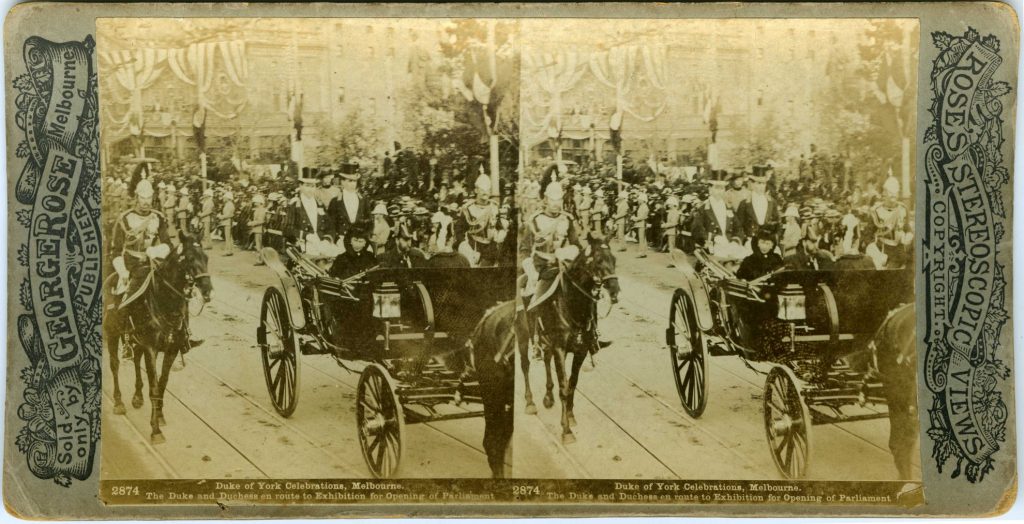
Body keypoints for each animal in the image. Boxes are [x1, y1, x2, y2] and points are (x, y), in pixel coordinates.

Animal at [103, 232, 211, 442]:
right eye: (190, 258)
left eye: (207, 258)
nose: (208, 289)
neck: (165, 302)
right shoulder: (151, 349)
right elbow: (154, 388)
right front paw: (155, 430)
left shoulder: (172, 349)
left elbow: (162, 383)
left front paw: (159, 415)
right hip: (113, 333)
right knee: (115, 365)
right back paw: (119, 402)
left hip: (136, 340)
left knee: (136, 359)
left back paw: (137, 397)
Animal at [520, 235, 614, 444]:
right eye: (598, 260)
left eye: (614, 259)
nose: (615, 289)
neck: (572, 305)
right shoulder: (560, 350)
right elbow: (564, 387)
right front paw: (566, 431)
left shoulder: (581, 350)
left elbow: (572, 384)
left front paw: (570, 416)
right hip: (521, 335)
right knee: (525, 365)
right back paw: (530, 402)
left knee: (546, 360)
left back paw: (548, 396)